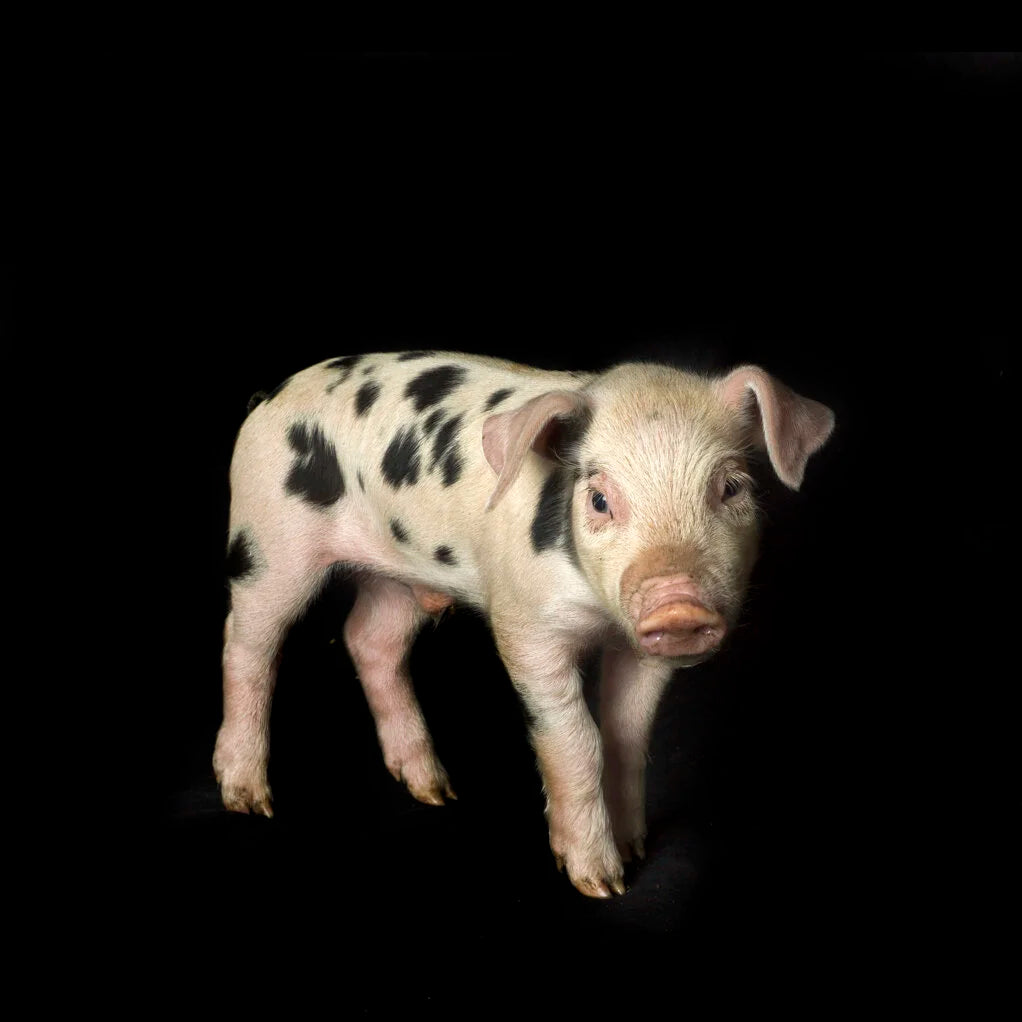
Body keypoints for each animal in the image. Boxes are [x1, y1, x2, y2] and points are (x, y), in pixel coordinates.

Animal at [214, 350, 834, 898]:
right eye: (599, 499)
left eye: (730, 488)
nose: (678, 607)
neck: (598, 613)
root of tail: (267, 399)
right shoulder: (526, 627)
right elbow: (579, 740)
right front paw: (599, 883)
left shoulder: (642, 651)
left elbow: (628, 736)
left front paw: (633, 853)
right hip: (268, 542)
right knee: (248, 646)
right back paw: (247, 798)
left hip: (397, 577)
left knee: (369, 639)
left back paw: (435, 791)